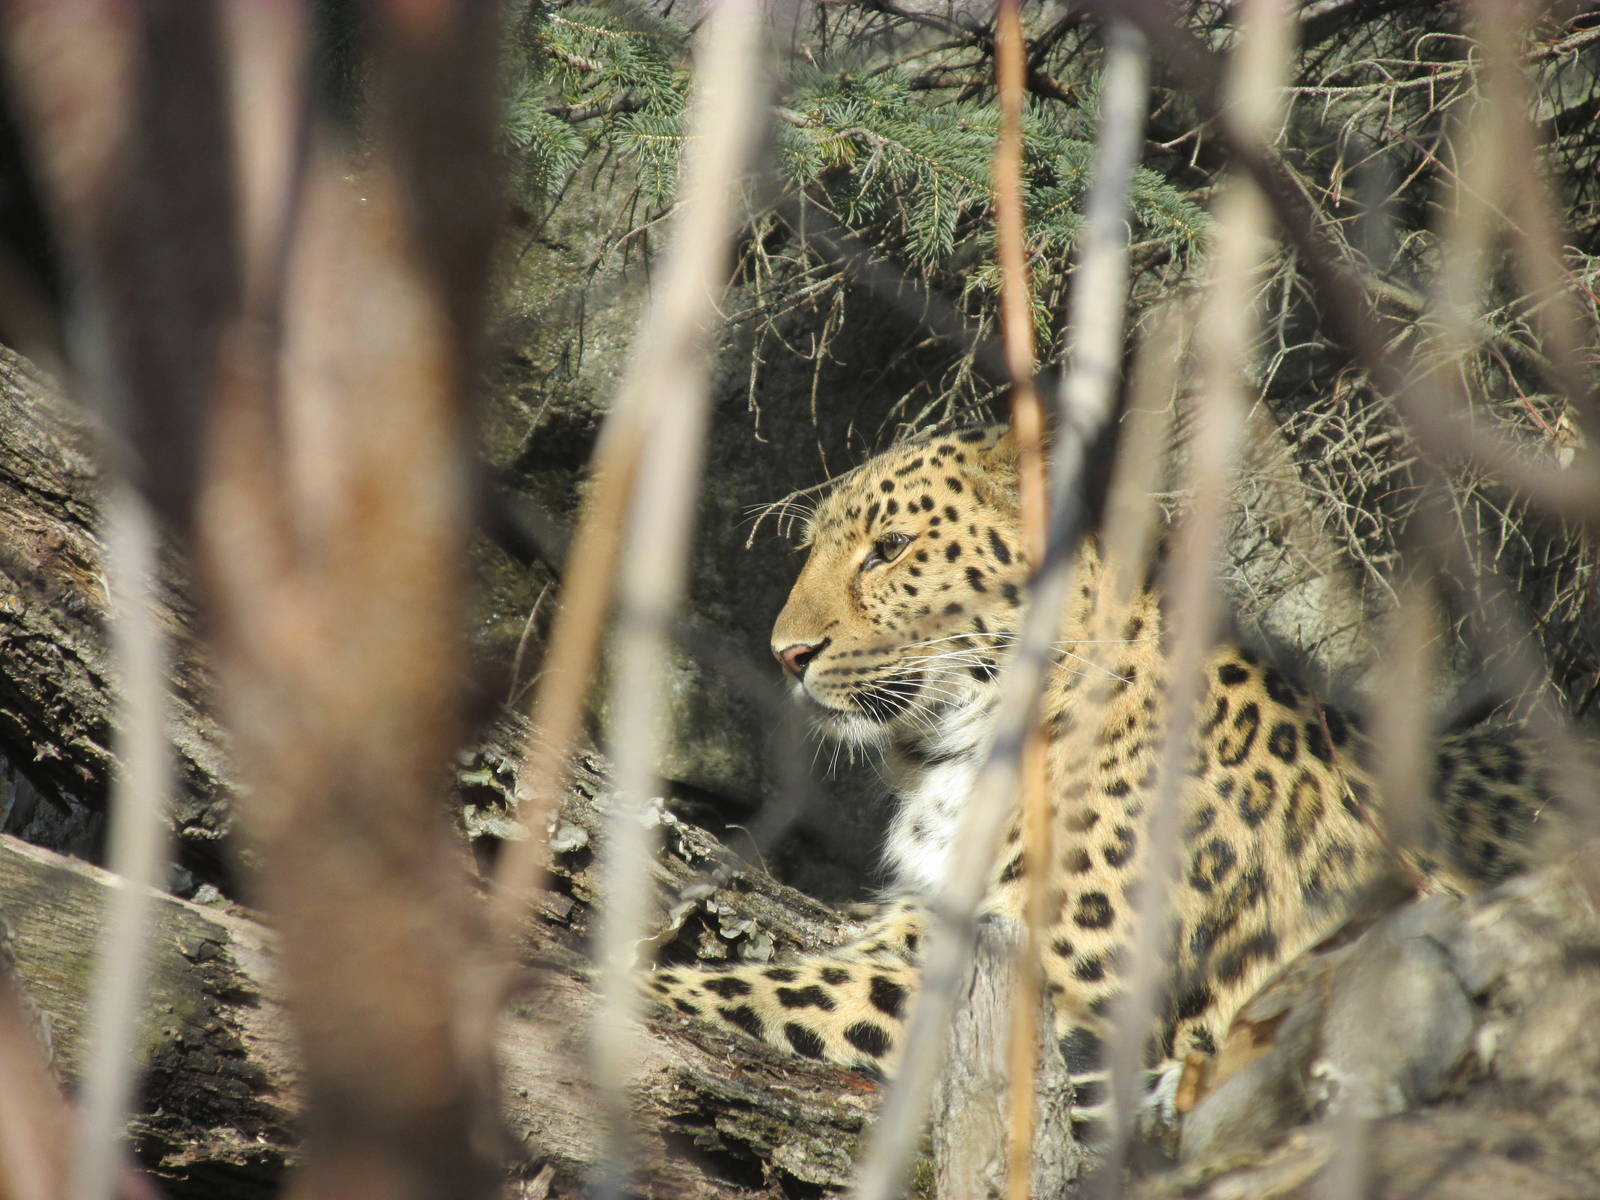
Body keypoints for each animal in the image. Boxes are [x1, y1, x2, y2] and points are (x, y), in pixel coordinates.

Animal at [643, 423, 1558, 1133]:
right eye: (815, 550)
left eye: (890, 550)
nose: (785, 654)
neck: (957, 754)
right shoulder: (918, 922)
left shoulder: (1057, 996)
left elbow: (772, 990)